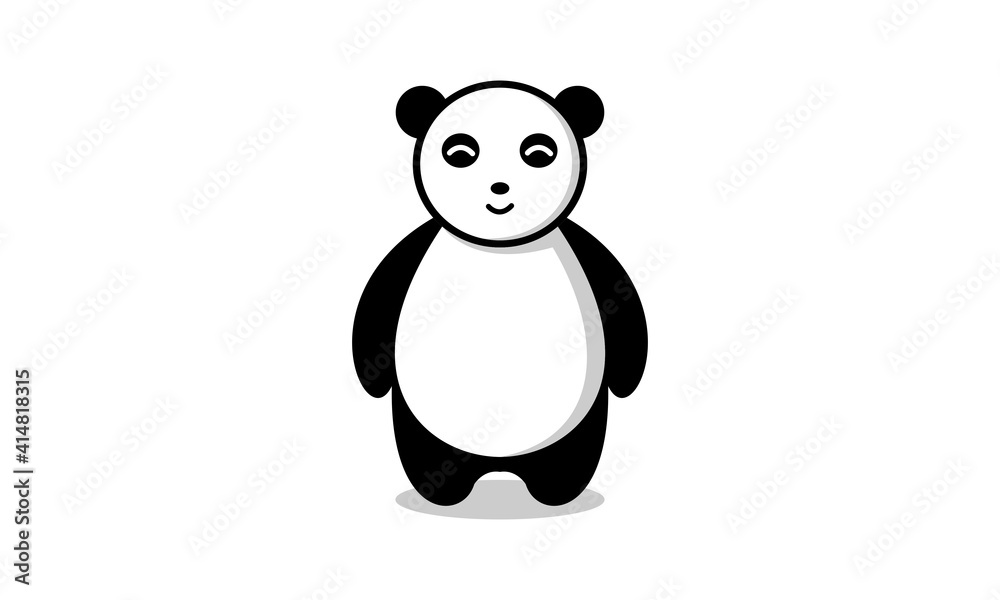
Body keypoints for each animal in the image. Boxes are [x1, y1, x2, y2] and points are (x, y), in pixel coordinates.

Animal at [353, 81, 647, 507]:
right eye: (459, 153)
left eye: (539, 153)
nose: (499, 188)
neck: (501, 246)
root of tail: (500, 465)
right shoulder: (407, 256)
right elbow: (377, 302)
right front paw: (371, 381)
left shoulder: (588, 252)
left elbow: (621, 303)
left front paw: (627, 383)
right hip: (422, 425)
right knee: (428, 453)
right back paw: (442, 492)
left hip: (577, 427)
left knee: (569, 457)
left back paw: (556, 492)